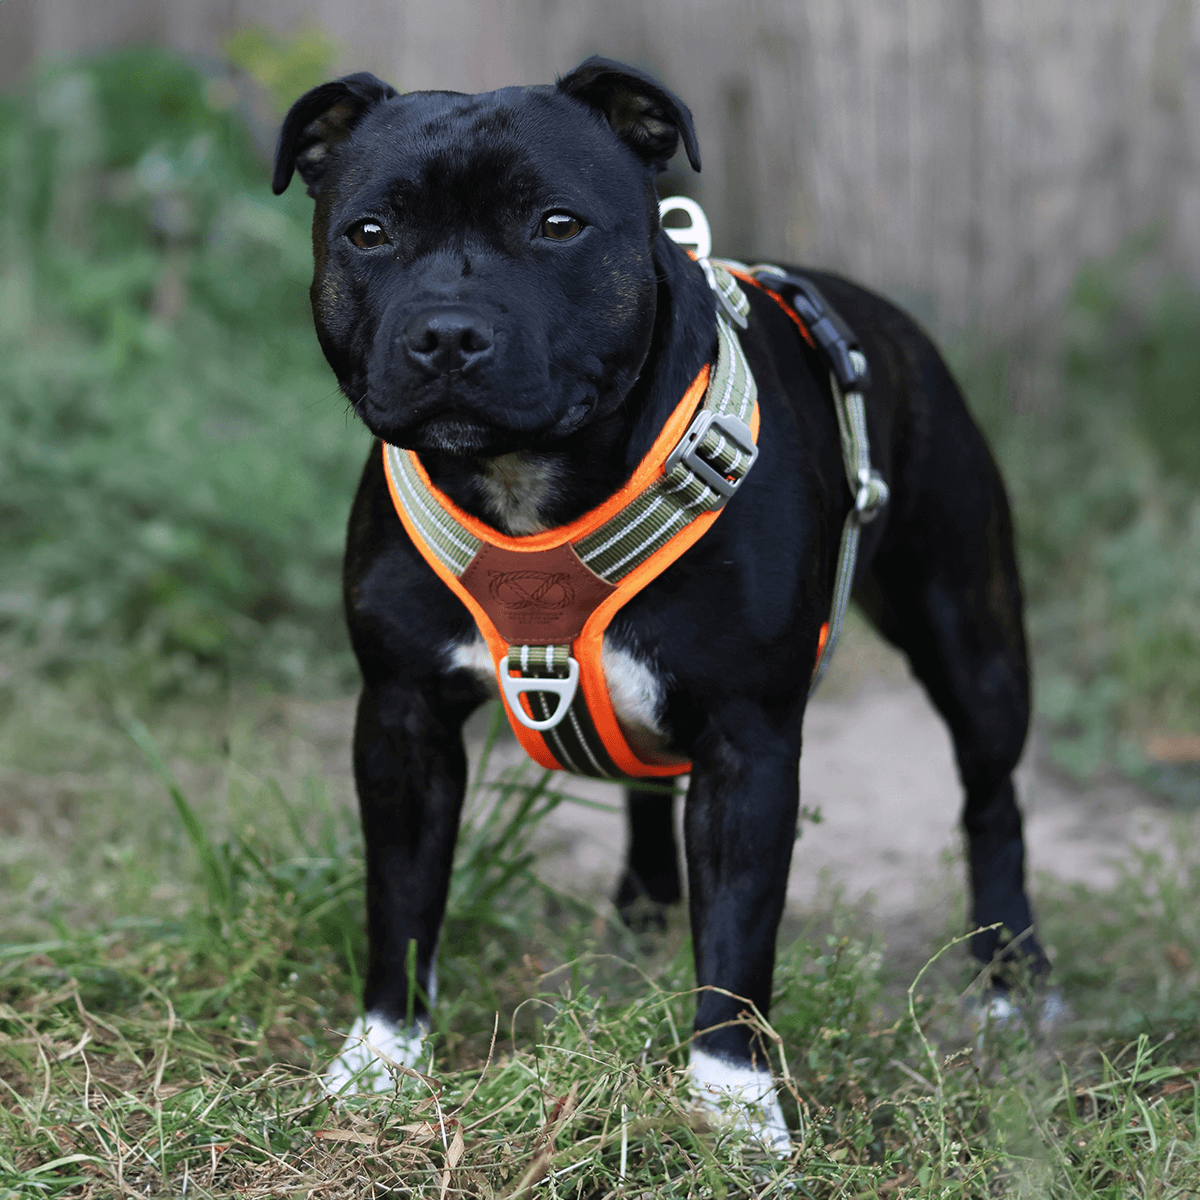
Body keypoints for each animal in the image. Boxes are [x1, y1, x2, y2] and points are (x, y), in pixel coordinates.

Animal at [276, 54, 1046, 1142]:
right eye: (369, 233)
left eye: (557, 224)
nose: (446, 333)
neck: (525, 487)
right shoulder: (401, 722)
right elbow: (402, 904)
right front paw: (381, 1059)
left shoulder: (747, 745)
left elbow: (736, 945)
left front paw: (734, 1106)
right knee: (643, 780)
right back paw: (641, 908)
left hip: (969, 637)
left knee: (992, 796)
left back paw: (1010, 970)